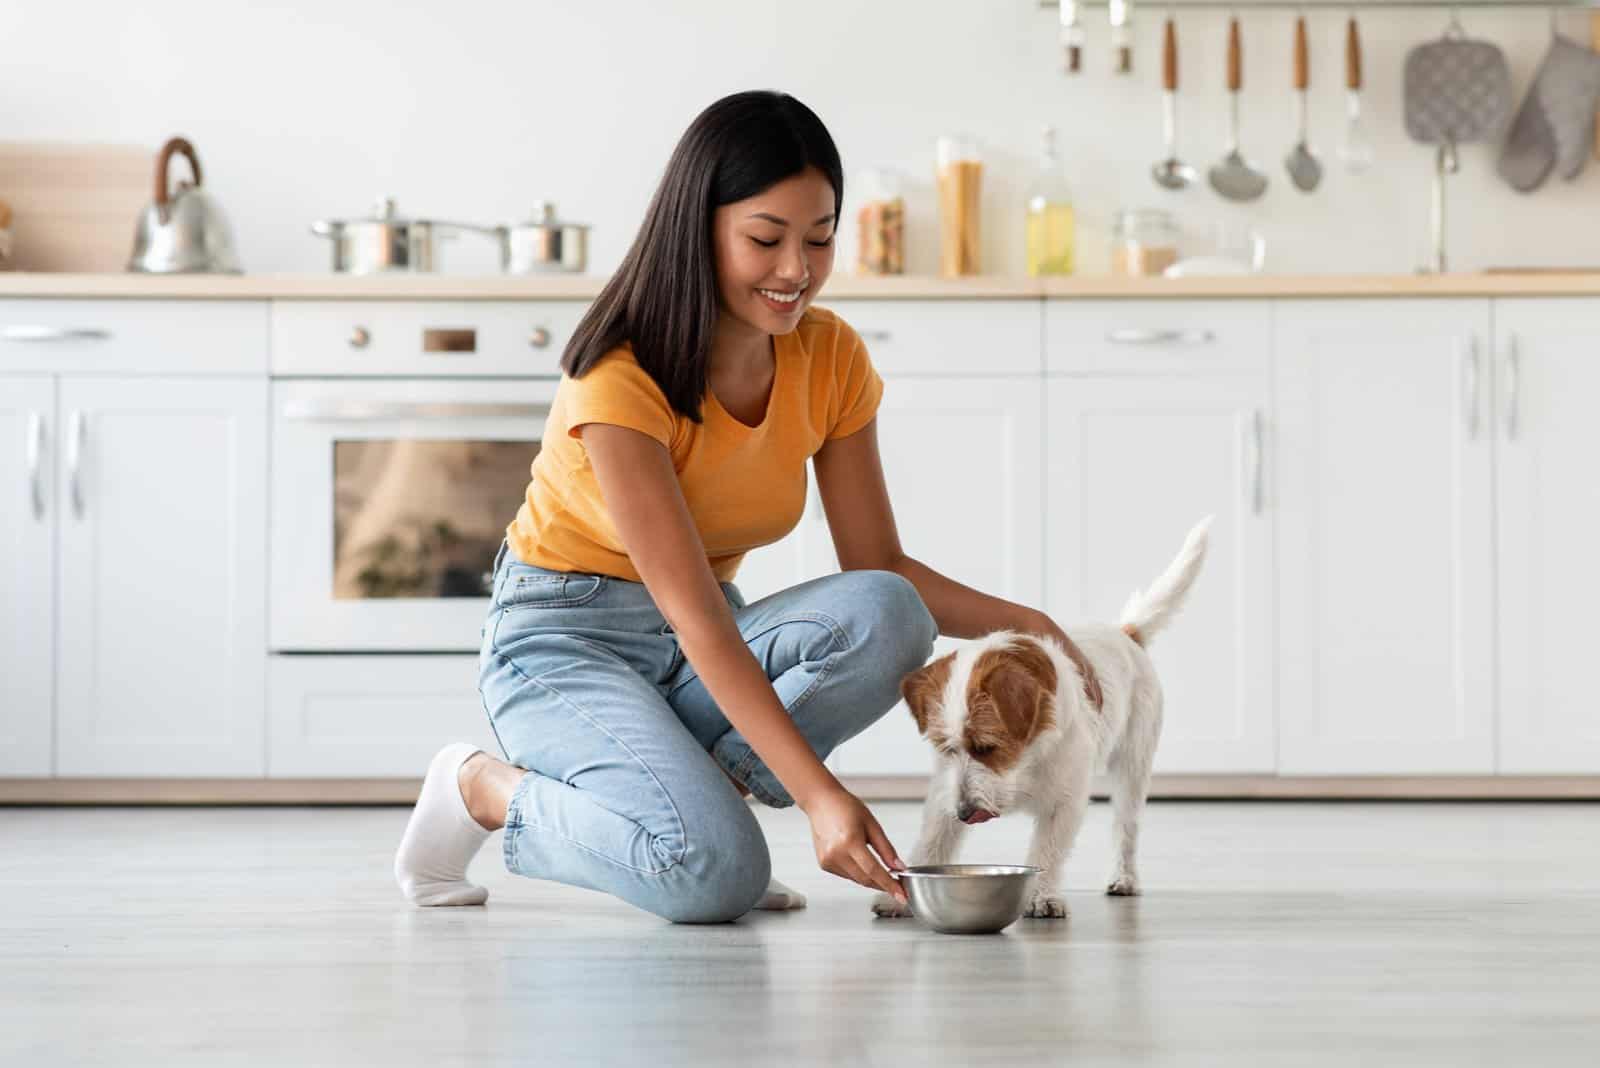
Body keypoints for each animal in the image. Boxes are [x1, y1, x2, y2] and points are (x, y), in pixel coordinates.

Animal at [876, 518, 1209, 920]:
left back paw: (1124, 877)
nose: (964, 812)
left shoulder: (1064, 801)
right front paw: (900, 895)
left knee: (1126, 827)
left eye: (986, 747)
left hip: (1133, 767)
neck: (1026, 760)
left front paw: (1042, 896)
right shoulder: (945, 794)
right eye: (946, 748)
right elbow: (933, 841)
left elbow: (1047, 850)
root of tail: (1125, 633)